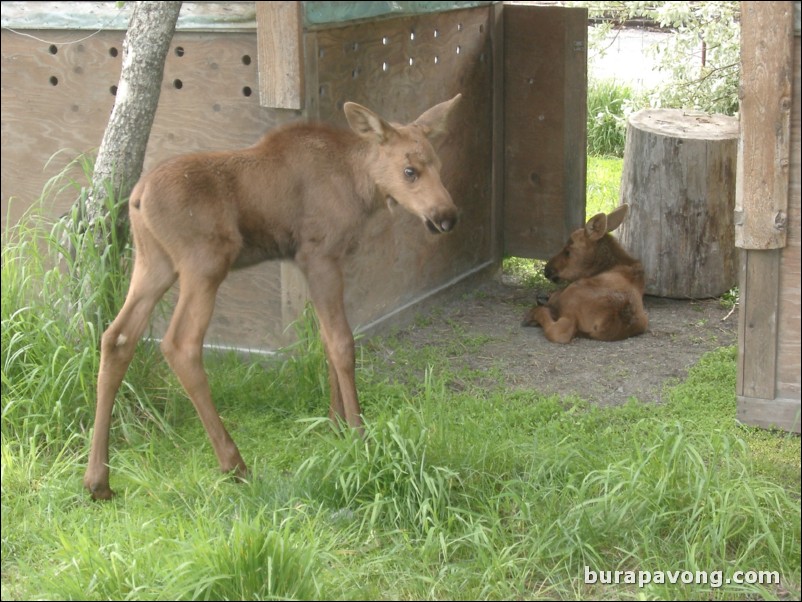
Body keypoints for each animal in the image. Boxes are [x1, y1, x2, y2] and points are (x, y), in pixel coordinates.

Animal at [83, 94, 460, 496]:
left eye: (438, 165)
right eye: (409, 171)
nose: (447, 216)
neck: (361, 186)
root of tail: (137, 198)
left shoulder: (310, 262)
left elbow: (325, 342)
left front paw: (335, 426)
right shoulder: (320, 255)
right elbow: (342, 343)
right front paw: (359, 436)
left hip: (153, 262)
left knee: (117, 337)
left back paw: (98, 480)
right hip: (205, 263)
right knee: (179, 344)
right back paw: (234, 464)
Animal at [520, 204, 648, 342]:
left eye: (567, 251)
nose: (547, 270)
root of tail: (607, 321)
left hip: (571, 295)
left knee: (560, 330)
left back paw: (534, 314)